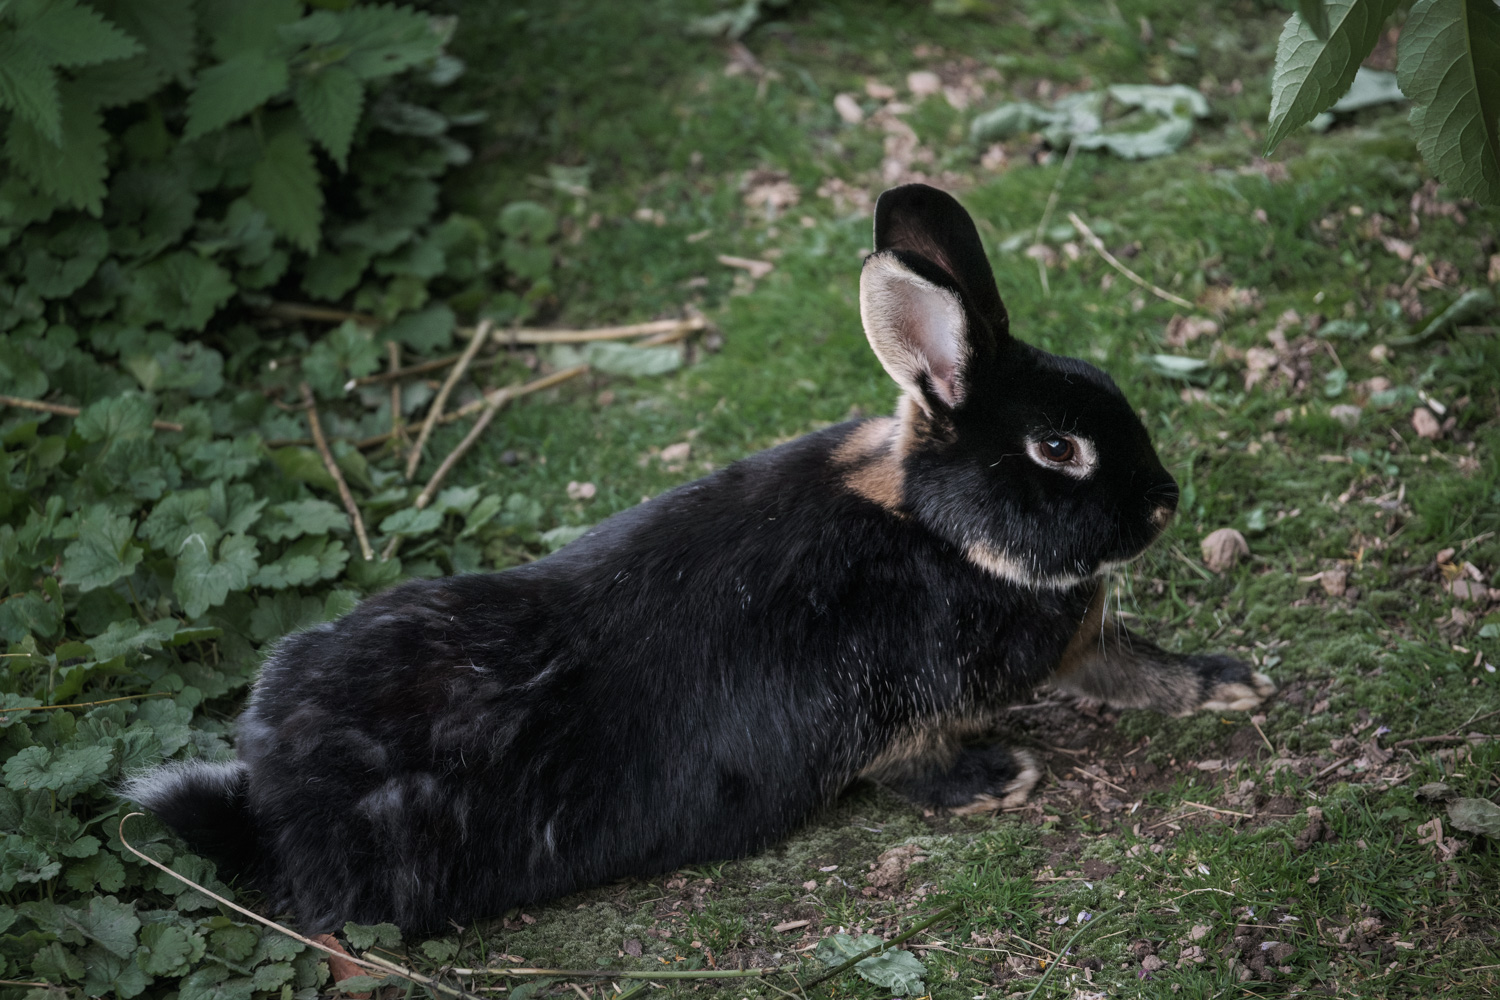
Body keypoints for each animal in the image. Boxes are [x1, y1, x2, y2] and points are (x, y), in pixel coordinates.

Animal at [132, 185, 1278, 929]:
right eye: (1057, 449)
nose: (1165, 503)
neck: (942, 530)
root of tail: (274, 805)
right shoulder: (892, 703)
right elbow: (912, 764)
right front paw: (996, 779)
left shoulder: (1077, 642)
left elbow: (1130, 664)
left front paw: (1230, 684)